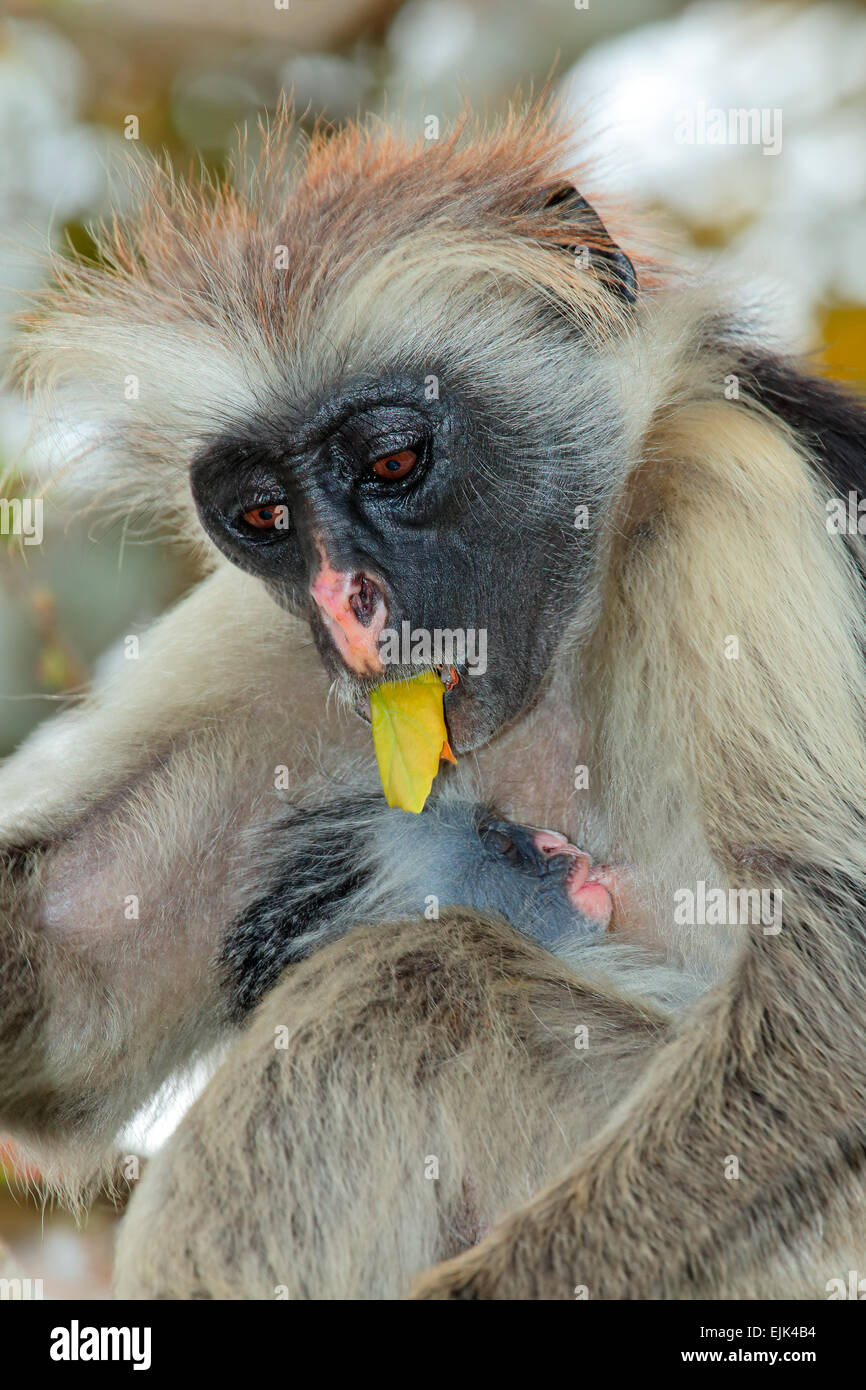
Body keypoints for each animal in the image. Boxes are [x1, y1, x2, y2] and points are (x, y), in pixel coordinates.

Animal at [3, 100, 866, 1299]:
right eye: (264, 516)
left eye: (393, 461)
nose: (343, 599)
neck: (569, 639)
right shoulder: (291, 653)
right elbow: (77, 975)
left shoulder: (727, 483)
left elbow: (833, 1000)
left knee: (413, 977)